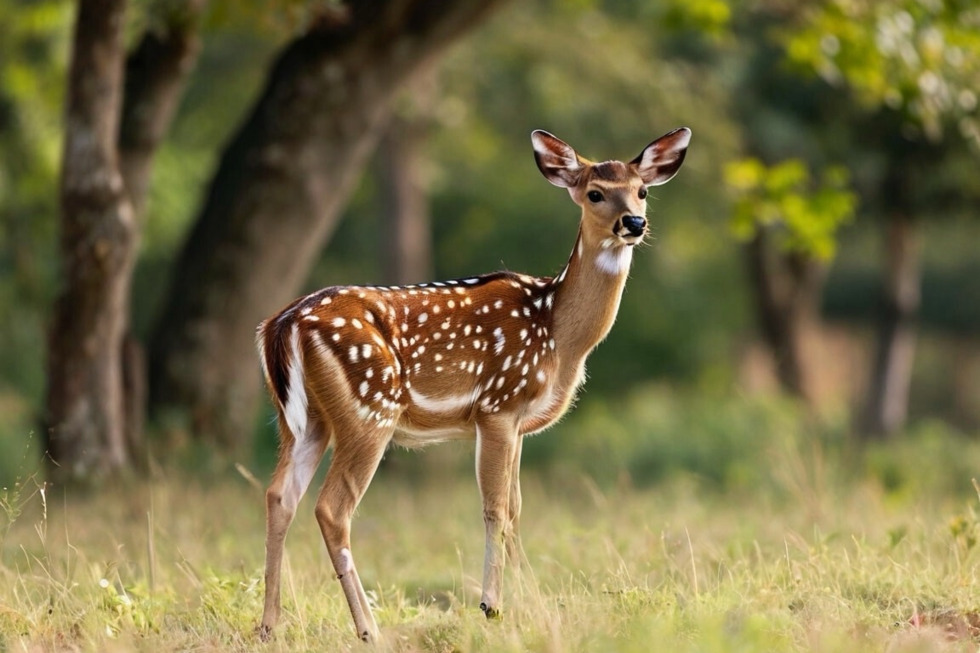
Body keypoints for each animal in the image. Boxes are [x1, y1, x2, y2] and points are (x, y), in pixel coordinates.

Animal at [256, 125, 692, 640]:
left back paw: (269, 626)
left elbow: (517, 509)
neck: (559, 335)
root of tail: (280, 326)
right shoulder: (498, 405)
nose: (634, 223)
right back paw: (368, 629)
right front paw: (492, 606)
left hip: (302, 423)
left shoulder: (519, 423)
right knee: (332, 509)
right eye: (595, 193)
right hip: (369, 408)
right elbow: (496, 508)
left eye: (642, 191)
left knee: (279, 497)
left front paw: (535, 605)